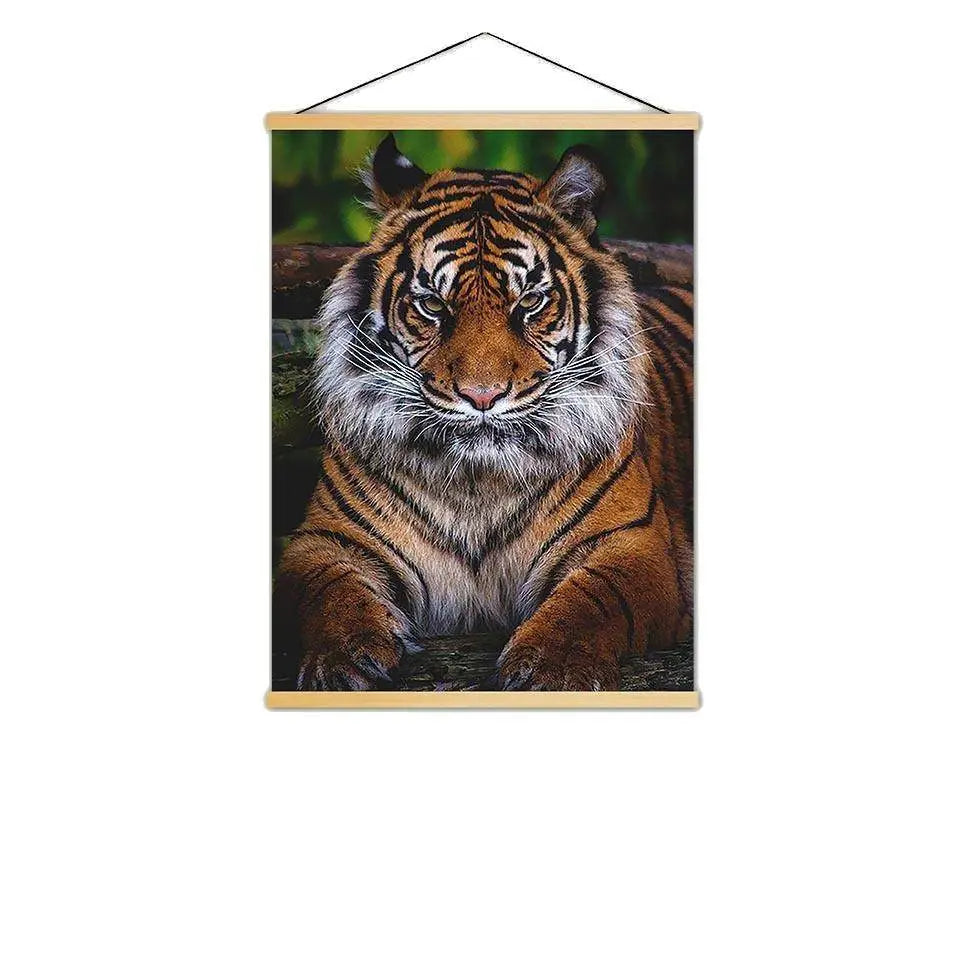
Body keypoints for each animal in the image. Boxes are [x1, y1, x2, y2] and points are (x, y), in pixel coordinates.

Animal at [273, 133, 693, 692]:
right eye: (432, 305)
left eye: (530, 302)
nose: (482, 395)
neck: (479, 484)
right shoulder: (324, 539)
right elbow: (325, 590)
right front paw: (340, 660)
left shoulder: (635, 546)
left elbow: (594, 600)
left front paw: (553, 669)